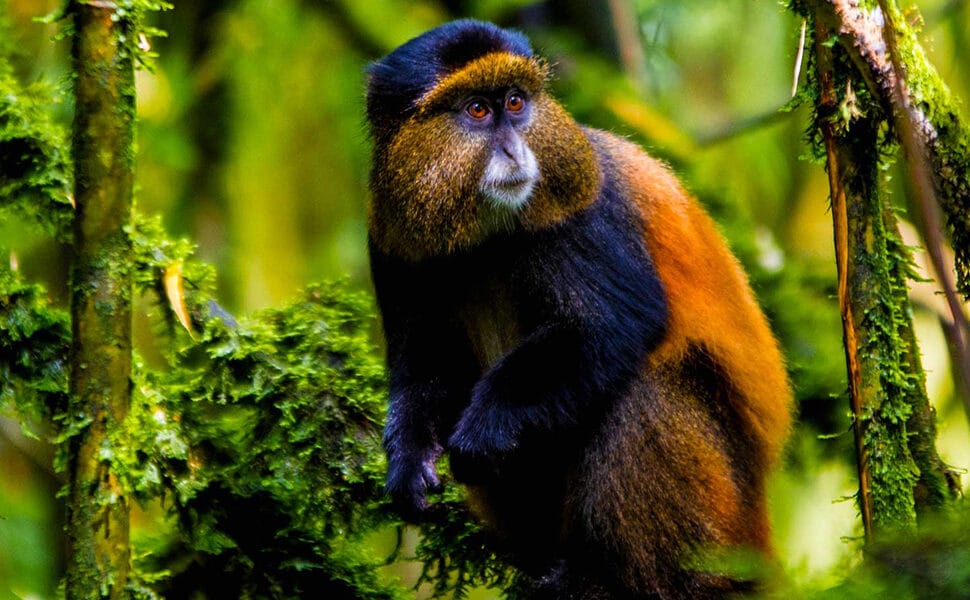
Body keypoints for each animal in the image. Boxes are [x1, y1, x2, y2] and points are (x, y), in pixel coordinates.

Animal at [365, 19, 792, 599]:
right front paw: (409, 462)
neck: (486, 234)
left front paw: (485, 429)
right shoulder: (391, 242)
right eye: (477, 110)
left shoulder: (580, 210)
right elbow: (425, 367)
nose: (516, 153)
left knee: (645, 389)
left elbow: (610, 326)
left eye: (515, 102)